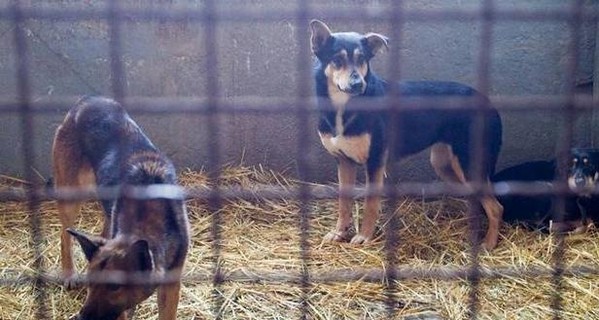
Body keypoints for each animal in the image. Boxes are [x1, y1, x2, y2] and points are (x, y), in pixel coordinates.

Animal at [53, 96, 191, 318]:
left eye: (114, 287)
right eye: (91, 283)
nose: (81, 317)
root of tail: (87, 100)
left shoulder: (170, 286)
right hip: (71, 194)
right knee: (64, 234)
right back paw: (69, 273)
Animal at [310, 19, 506, 250]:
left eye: (362, 59)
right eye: (337, 60)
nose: (358, 84)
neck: (343, 108)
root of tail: (490, 105)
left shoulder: (375, 162)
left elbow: (371, 204)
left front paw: (364, 236)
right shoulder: (343, 161)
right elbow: (344, 203)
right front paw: (339, 232)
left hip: (468, 165)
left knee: (496, 207)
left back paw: (489, 244)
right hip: (445, 165)